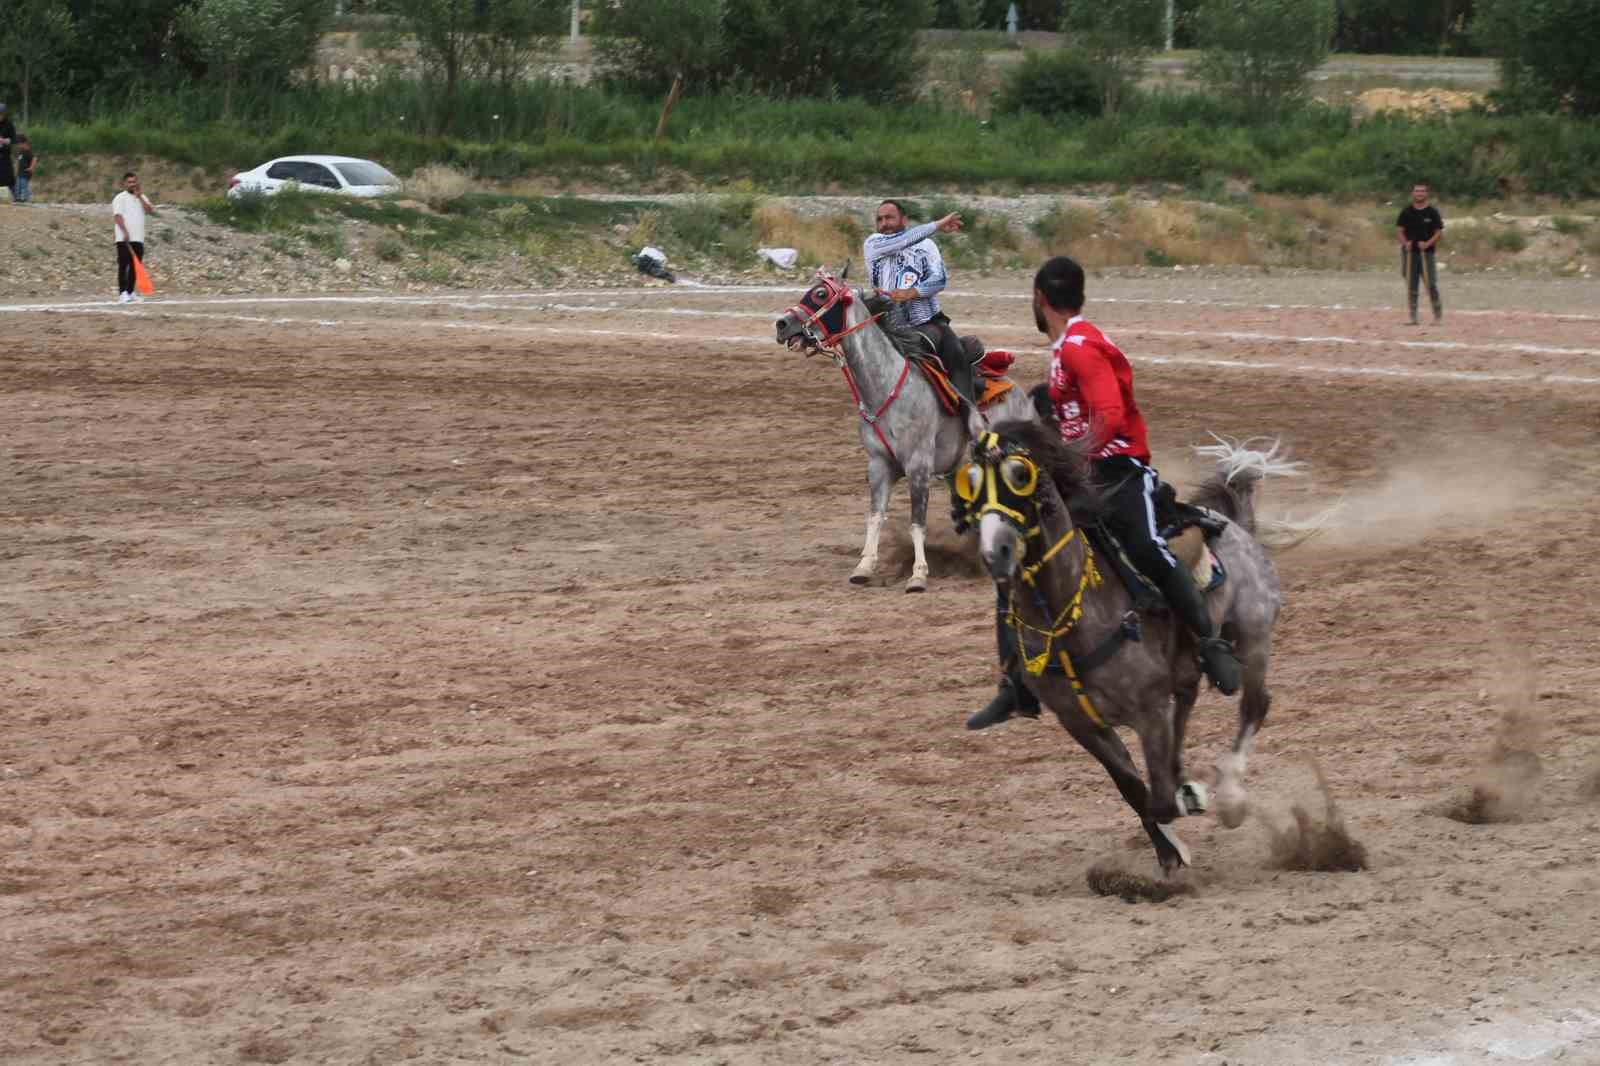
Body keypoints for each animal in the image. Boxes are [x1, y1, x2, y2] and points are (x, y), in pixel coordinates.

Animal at [777, 265, 1036, 589]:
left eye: (821, 293)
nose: (781, 324)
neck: (885, 387)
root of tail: (1020, 392)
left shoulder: (918, 466)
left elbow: (917, 523)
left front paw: (918, 575)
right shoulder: (879, 466)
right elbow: (875, 516)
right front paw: (864, 566)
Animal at [953, 416, 1292, 870]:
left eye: (1020, 476)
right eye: (971, 481)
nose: (996, 553)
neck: (1071, 620)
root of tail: (1232, 522)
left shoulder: (1148, 711)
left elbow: (1159, 799)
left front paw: (1186, 807)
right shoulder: (1082, 724)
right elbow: (1135, 790)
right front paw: (1170, 851)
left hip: (1253, 636)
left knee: (1255, 705)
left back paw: (1231, 798)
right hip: (1185, 668)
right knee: (1186, 705)